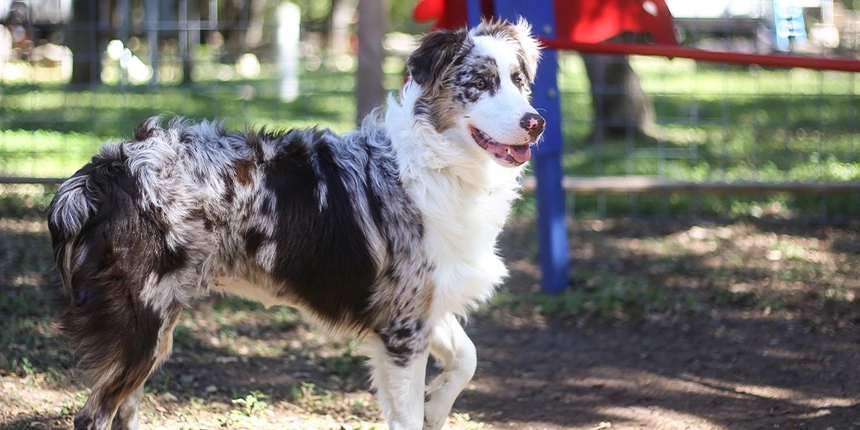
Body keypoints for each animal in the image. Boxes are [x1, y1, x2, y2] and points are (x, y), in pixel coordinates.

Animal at [47, 17, 540, 430]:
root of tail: (107, 169)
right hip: (142, 328)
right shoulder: (402, 326)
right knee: (91, 416)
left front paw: (438, 404)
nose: (535, 122)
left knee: (122, 412)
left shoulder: (422, 303)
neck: (439, 163)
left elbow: (467, 358)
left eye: (519, 82)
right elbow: (409, 415)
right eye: (479, 83)